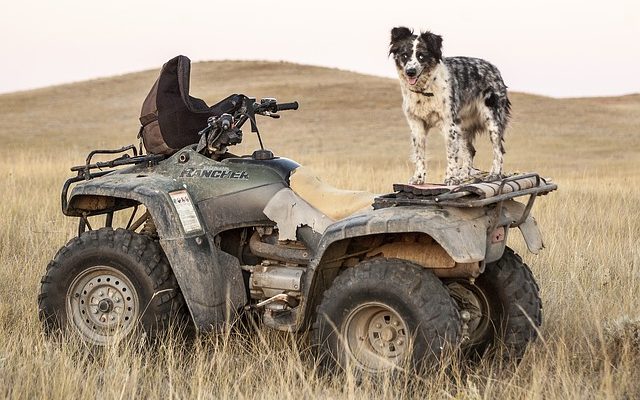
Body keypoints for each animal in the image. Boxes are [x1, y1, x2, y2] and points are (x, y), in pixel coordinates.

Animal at [390, 26, 510, 186]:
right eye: (404, 55)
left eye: (421, 56)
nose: (410, 72)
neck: (425, 90)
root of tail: (494, 68)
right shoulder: (416, 123)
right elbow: (419, 154)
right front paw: (418, 177)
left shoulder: (449, 124)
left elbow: (451, 154)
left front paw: (451, 178)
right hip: (463, 125)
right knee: (470, 150)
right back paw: (464, 176)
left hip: (492, 120)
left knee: (498, 149)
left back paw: (494, 174)